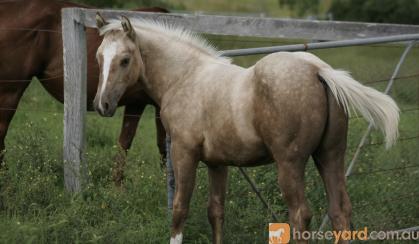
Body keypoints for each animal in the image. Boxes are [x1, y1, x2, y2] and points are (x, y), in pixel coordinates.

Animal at [94, 14, 400, 242]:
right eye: (99, 57)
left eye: (125, 59)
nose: (102, 105)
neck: (184, 77)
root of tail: (318, 70)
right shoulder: (217, 163)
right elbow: (215, 212)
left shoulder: (184, 153)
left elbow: (180, 210)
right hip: (330, 156)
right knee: (340, 212)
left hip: (290, 164)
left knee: (300, 214)